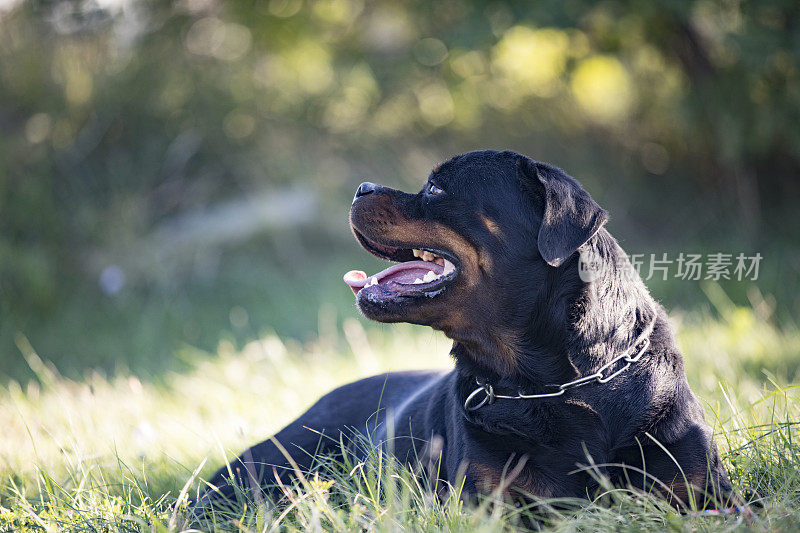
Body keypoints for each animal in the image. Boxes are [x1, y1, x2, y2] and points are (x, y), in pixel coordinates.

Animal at [198, 149, 732, 508]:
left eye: (436, 189)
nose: (361, 187)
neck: (555, 385)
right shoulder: (489, 503)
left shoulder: (705, 493)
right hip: (272, 465)